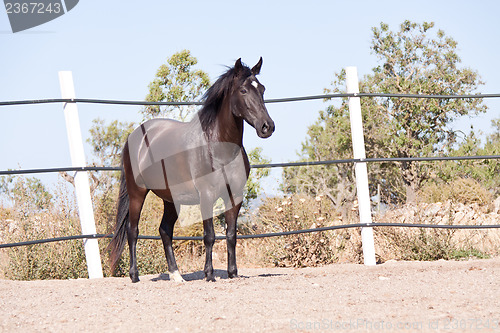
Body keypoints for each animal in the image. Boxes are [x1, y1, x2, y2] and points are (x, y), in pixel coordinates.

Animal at [109, 58, 276, 282]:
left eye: (262, 89)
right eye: (243, 90)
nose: (267, 127)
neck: (217, 147)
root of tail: (134, 136)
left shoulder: (234, 196)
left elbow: (231, 235)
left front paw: (232, 273)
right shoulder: (206, 195)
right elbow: (210, 236)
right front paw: (209, 274)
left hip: (170, 198)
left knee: (164, 230)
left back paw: (176, 275)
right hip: (137, 193)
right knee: (132, 230)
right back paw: (134, 275)